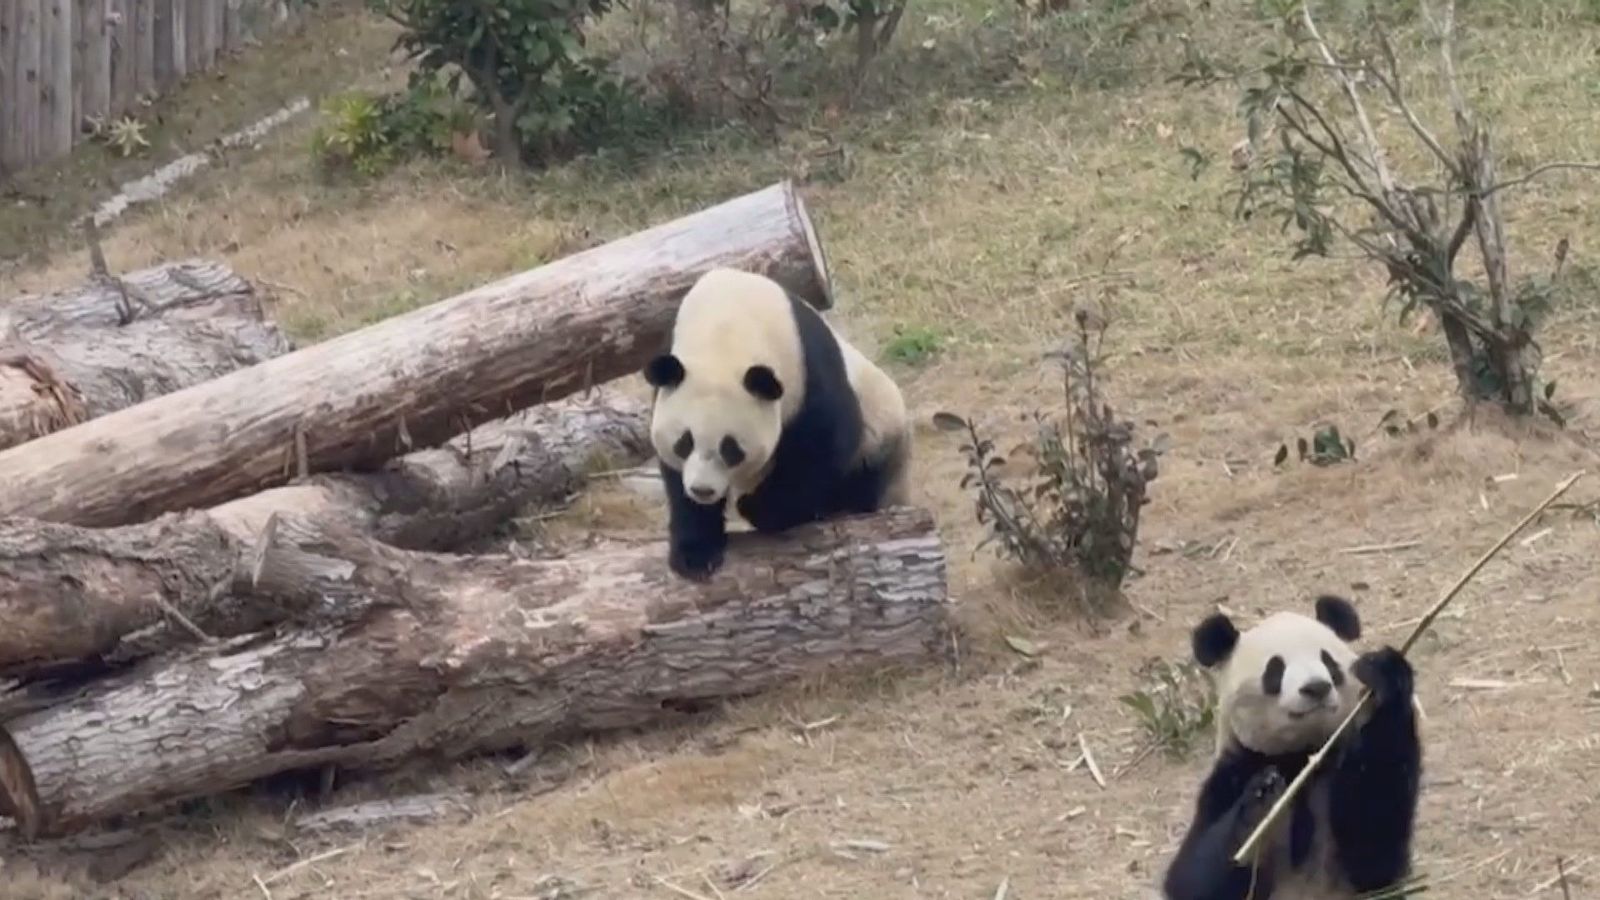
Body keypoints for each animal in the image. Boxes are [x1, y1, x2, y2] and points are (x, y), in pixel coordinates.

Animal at [642, 267, 911, 580]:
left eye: (731, 449)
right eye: (684, 443)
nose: (703, 490)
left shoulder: (805, 366)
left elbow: (821, 446)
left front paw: (757, 508)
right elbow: (676, 479)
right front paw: (695, 554)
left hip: (880, 436)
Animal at [1162, 594, 1423, 900]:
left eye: (1328, 661)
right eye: (1275, 669)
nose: (1316, 687)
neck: (1299, 753)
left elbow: (1375, 845)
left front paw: (1384, 675)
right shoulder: (1233, 772)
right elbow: (1192, 879)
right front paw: (1261, 796)